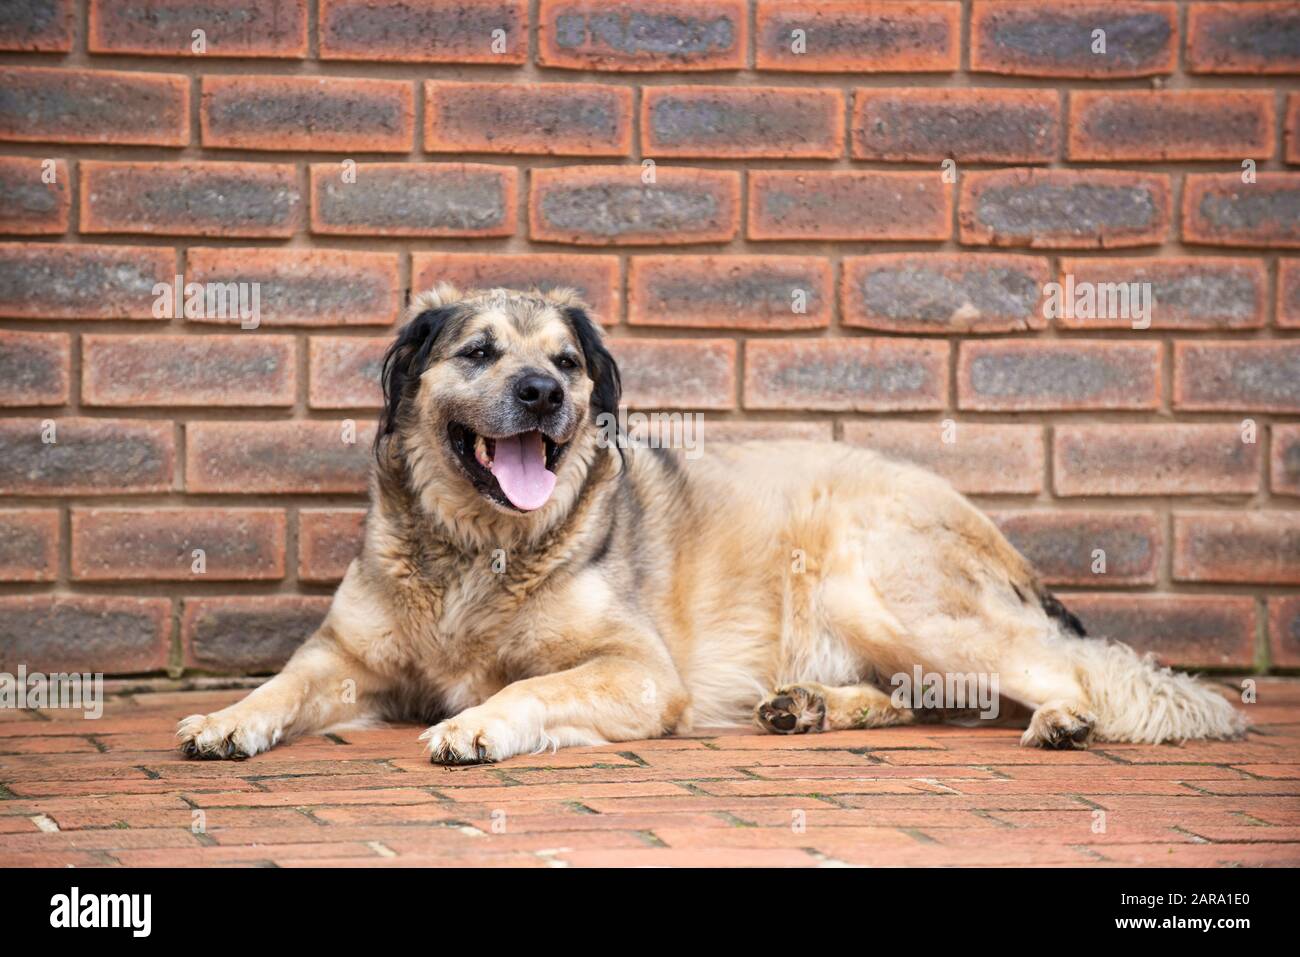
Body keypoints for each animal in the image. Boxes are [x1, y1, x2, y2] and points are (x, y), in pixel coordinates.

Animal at [175, 283, 1248, 764]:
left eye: (565, 363)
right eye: (478, 351)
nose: (540, 394)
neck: (478, 552)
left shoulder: (637, 670)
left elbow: (527, 689)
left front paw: (476, 722)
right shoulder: (345, 660)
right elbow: (281, 683)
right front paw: (227, 718)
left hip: (885, 588)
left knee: (1060, 670)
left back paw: (1066, 716)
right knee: (917, 698)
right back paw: (807, 706)